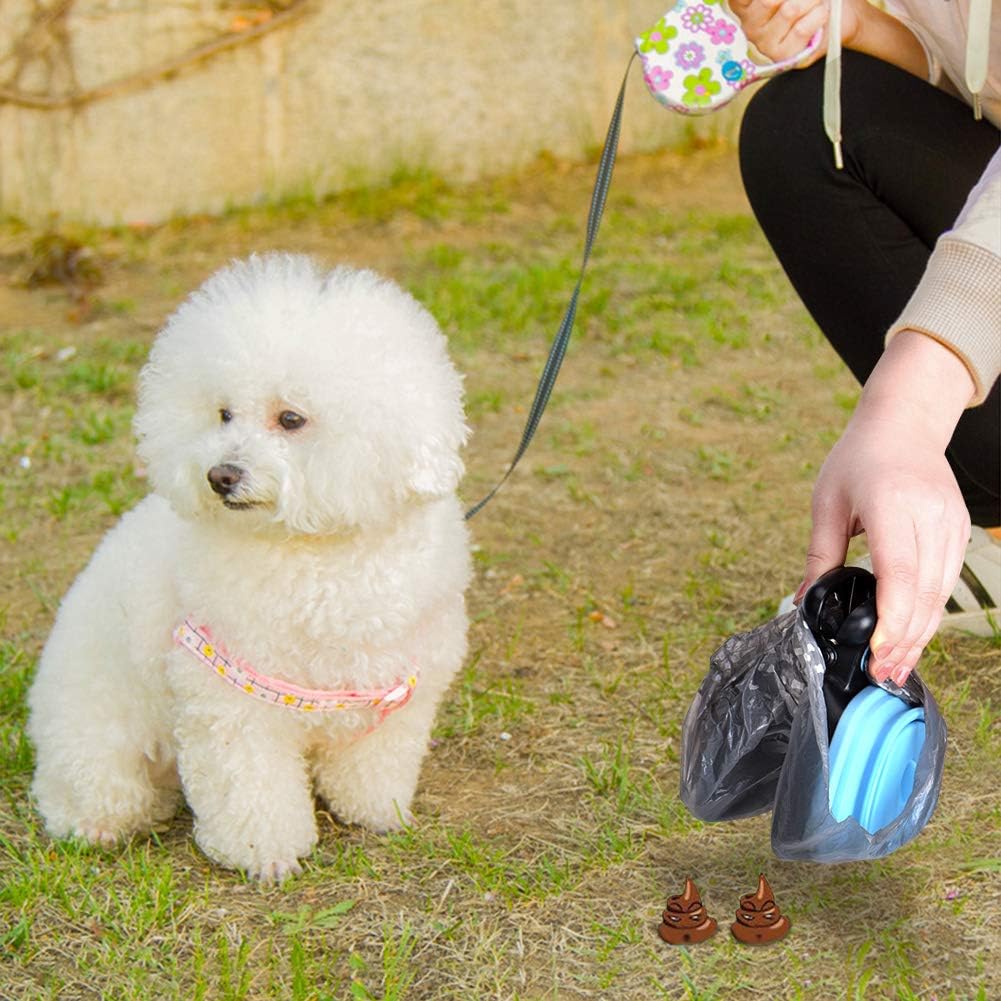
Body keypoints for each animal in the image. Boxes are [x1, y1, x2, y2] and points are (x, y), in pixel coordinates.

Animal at [26, 254, 472, 880]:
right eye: (223, 414)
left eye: (291, 418)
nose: (221, 475)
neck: (319, 553)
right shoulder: (231, 701)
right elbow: (251, 787)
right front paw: (266, 854)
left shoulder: (401, 689)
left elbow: (375, 762)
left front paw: (376, 810)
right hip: (97, 737)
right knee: (82, 790)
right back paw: (96, 824)